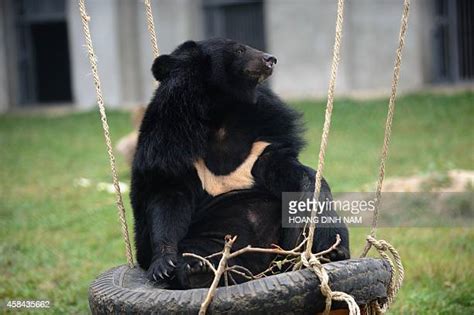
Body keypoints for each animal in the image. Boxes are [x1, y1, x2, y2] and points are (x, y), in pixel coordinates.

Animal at [130, 38, 348, 290]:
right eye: (239, 50)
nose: (270, 59)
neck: (222, 111)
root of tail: (260, 271)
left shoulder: (266, 135)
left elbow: (299, 177)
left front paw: (334, 247)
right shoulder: (169, 143)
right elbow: (168, 200)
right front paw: (163, 266)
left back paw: (318, 255)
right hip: (216, 238)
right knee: (198, 251)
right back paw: (199, 270)